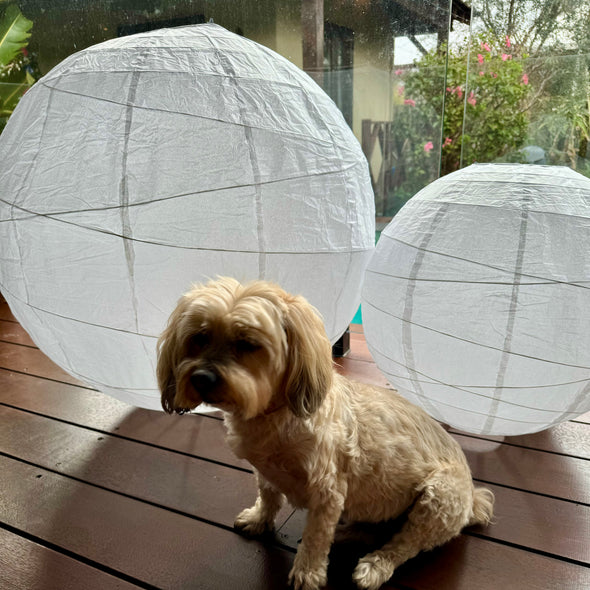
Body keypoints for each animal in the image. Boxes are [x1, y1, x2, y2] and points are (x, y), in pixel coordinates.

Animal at [156, 278, 494, 590]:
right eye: (199, 337)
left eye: (248, 343)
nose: (202, 378)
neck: (275, 415)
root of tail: (473, 500)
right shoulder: (265, 472)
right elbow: (268, 496)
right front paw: (259, 520)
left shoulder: (327, 491)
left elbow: (317, 536)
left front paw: (308, 572)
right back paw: (346, 533)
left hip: (438, 499)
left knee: (404, 544)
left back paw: (375, 565)